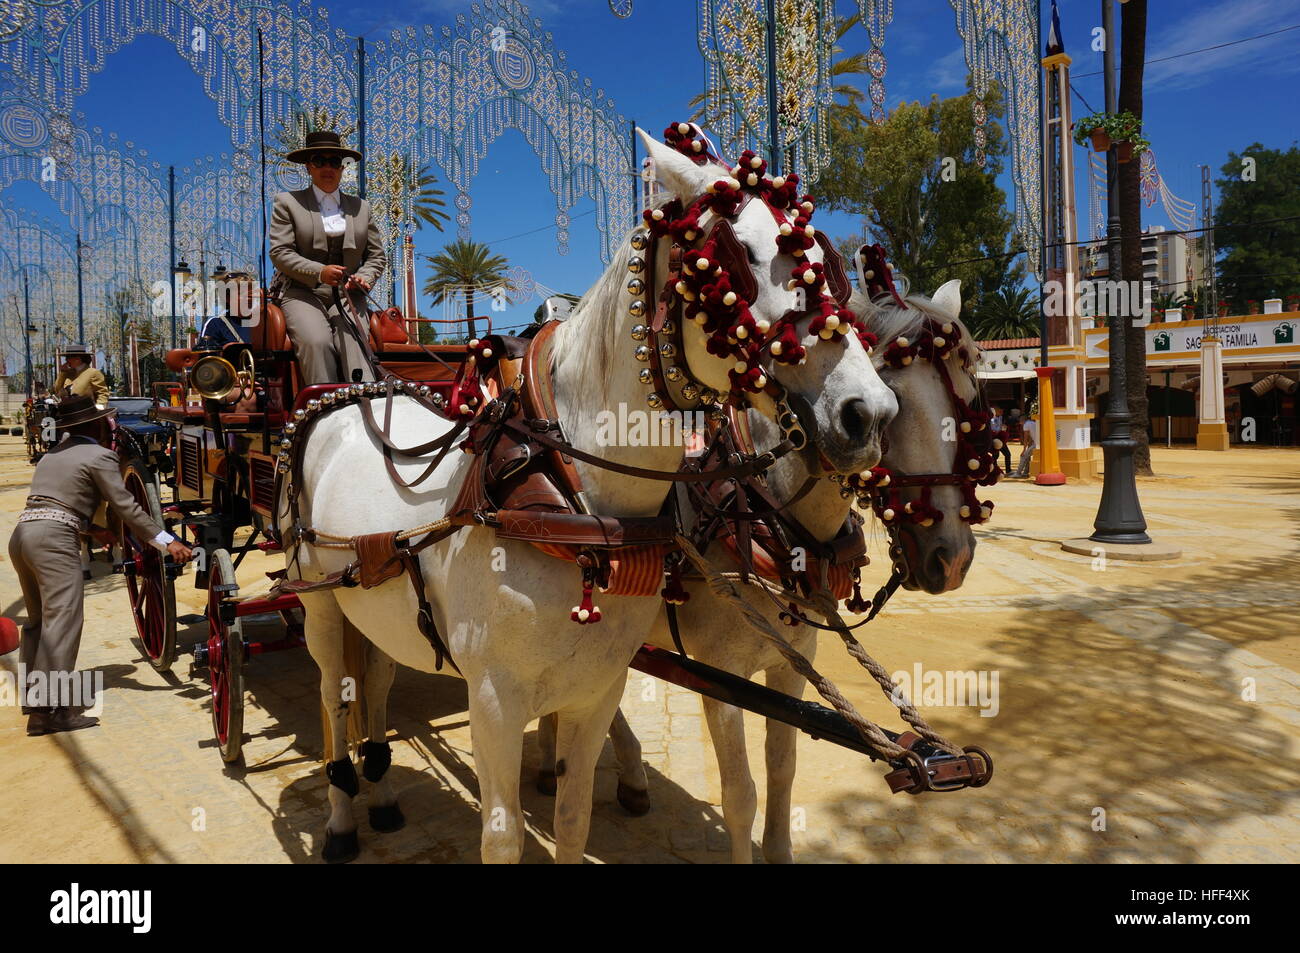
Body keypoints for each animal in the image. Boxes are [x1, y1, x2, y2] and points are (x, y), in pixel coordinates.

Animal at [280, 128, 898, 863]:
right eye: (733, 259)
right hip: (319, 606)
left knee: (373, 677)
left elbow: (577, 816)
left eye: (830, 265)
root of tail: (353, 391)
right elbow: (505, 837)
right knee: (331, 695)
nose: (869, 413)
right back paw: (342, 815)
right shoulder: (495, 702)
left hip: (372, 602)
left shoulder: (602, 686)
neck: (575, 503)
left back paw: (379, 793)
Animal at [537, 277, 986, 863]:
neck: (758, 508)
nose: (952, 557)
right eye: (894, 405)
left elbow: (782, 770)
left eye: (970, 400)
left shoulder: (791, 665)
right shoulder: (720, 675)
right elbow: (740, 793)